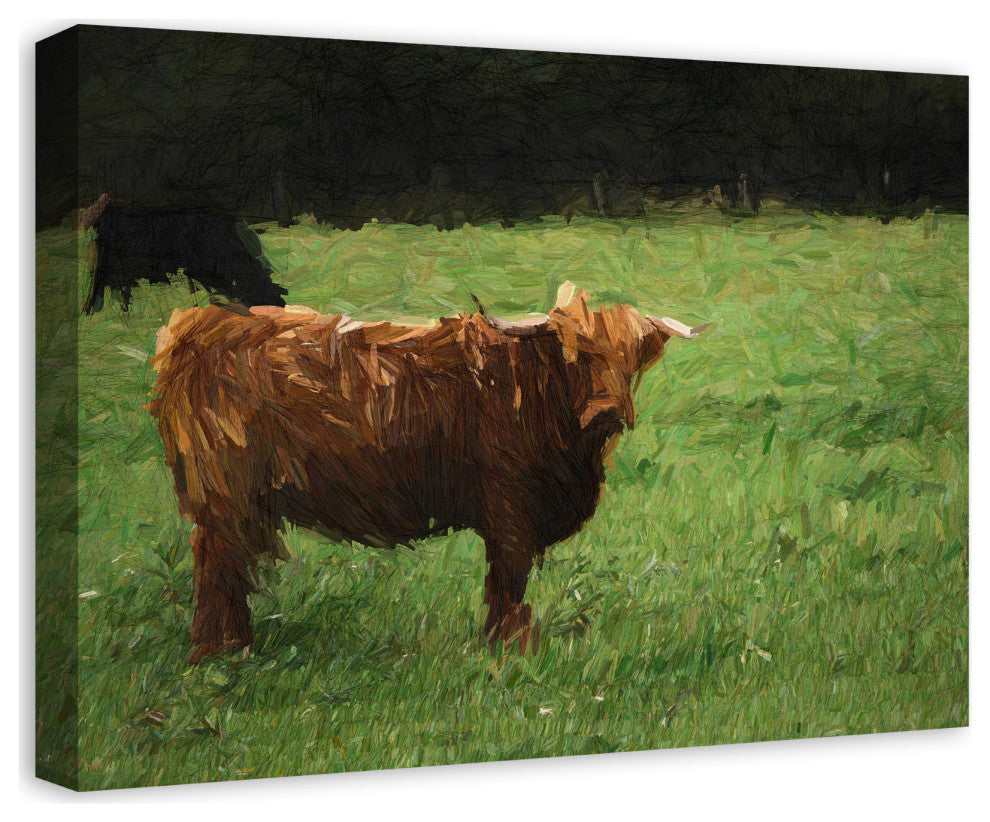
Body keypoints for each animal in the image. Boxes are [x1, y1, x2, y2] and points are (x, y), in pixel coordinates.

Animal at [148, 282, 707, 664]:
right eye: (575, 353)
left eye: (632, 358)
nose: (608, 411)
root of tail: (194, 327)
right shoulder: (509, 508)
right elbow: (510, 581)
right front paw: (511, 649)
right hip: (225, 488)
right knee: (218, 563)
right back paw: (218, 652)